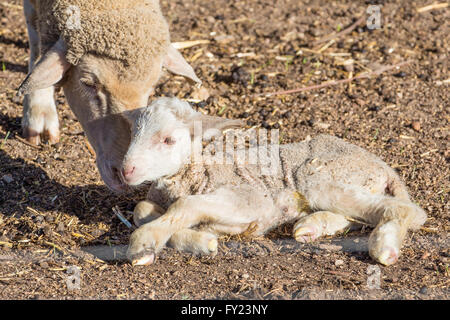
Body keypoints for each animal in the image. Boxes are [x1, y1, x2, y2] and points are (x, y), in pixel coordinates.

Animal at [119, 97, 426, 264]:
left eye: (168, 140)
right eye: (134, 132)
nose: (127, 170)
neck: (196, 173)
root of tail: (384, 167)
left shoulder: (253, 199)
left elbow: (186, 205)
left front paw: (145, 243)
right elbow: (141, 210)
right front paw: (199, 238)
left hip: (320, 175)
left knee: (408, 211)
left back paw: (384, 246)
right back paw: (311, 226)